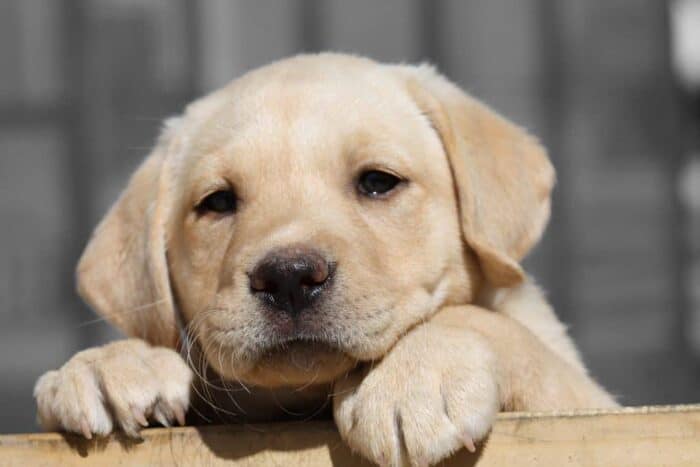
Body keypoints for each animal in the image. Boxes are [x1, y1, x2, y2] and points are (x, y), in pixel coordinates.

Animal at [35, 53, 616, 466]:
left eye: (378, 182)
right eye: (217, 202)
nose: (289, 278)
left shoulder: (592, 405)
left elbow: (490, 325)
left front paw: (413, 379)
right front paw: (108, 364)